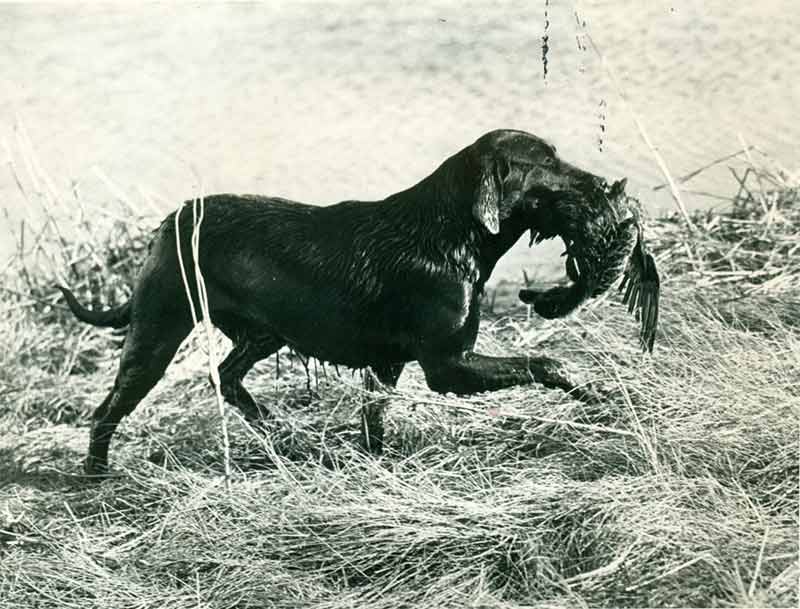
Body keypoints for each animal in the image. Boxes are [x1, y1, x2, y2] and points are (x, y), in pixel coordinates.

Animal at [54, 128, 656, 476]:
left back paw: (274, 430)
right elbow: (547, 362)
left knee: (227, 376)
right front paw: (597, 394)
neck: (449, 234)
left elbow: (373, 420)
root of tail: (170, 219)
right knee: (108, 410)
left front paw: (375, 467)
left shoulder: (387, 365)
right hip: (158, 332)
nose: (606, 184)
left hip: (262, 331)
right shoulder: (448, 366)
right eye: (547, 162)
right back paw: (97, 474)